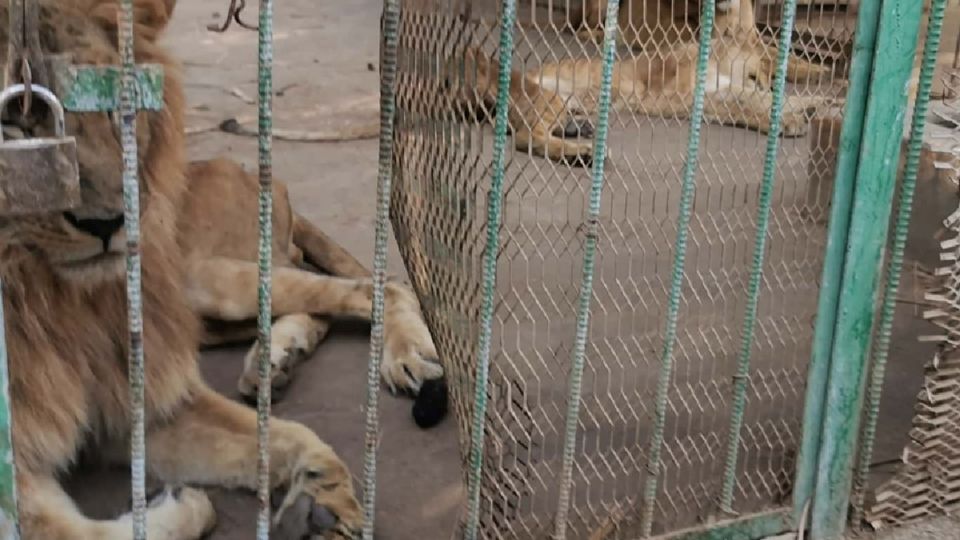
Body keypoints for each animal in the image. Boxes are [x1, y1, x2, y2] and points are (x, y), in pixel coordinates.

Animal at [0, 2, 440, 536]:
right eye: (15, 120)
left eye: (120, 110)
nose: (107, 221)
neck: (47, 296)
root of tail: (260, 176)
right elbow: (70, 528)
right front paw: (308, 497)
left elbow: (284, 433)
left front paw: (323, 499)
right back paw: (276, 360)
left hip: (209, 281)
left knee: (378, 286)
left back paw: (403, 353)